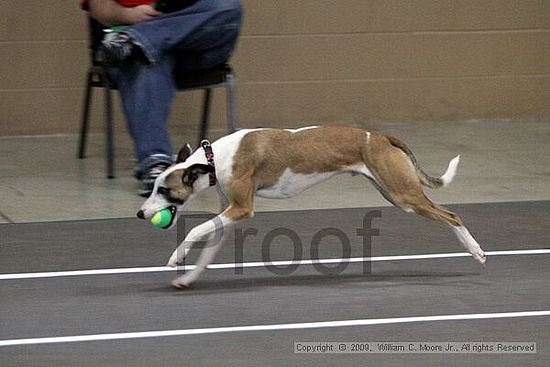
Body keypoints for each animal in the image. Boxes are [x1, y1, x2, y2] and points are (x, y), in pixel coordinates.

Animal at [138, 128, 488, 288]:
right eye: (153, 187)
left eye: (164, 190)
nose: (141, 213)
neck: (212, 158)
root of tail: (379, 135)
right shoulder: (231, 214)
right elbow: (207, 249)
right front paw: (187, 278)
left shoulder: (241, 209)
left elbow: (195, 230)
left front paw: (176, 257)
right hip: (393, 191)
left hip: (405, 196)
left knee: (452, 215)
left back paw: (475, 250)